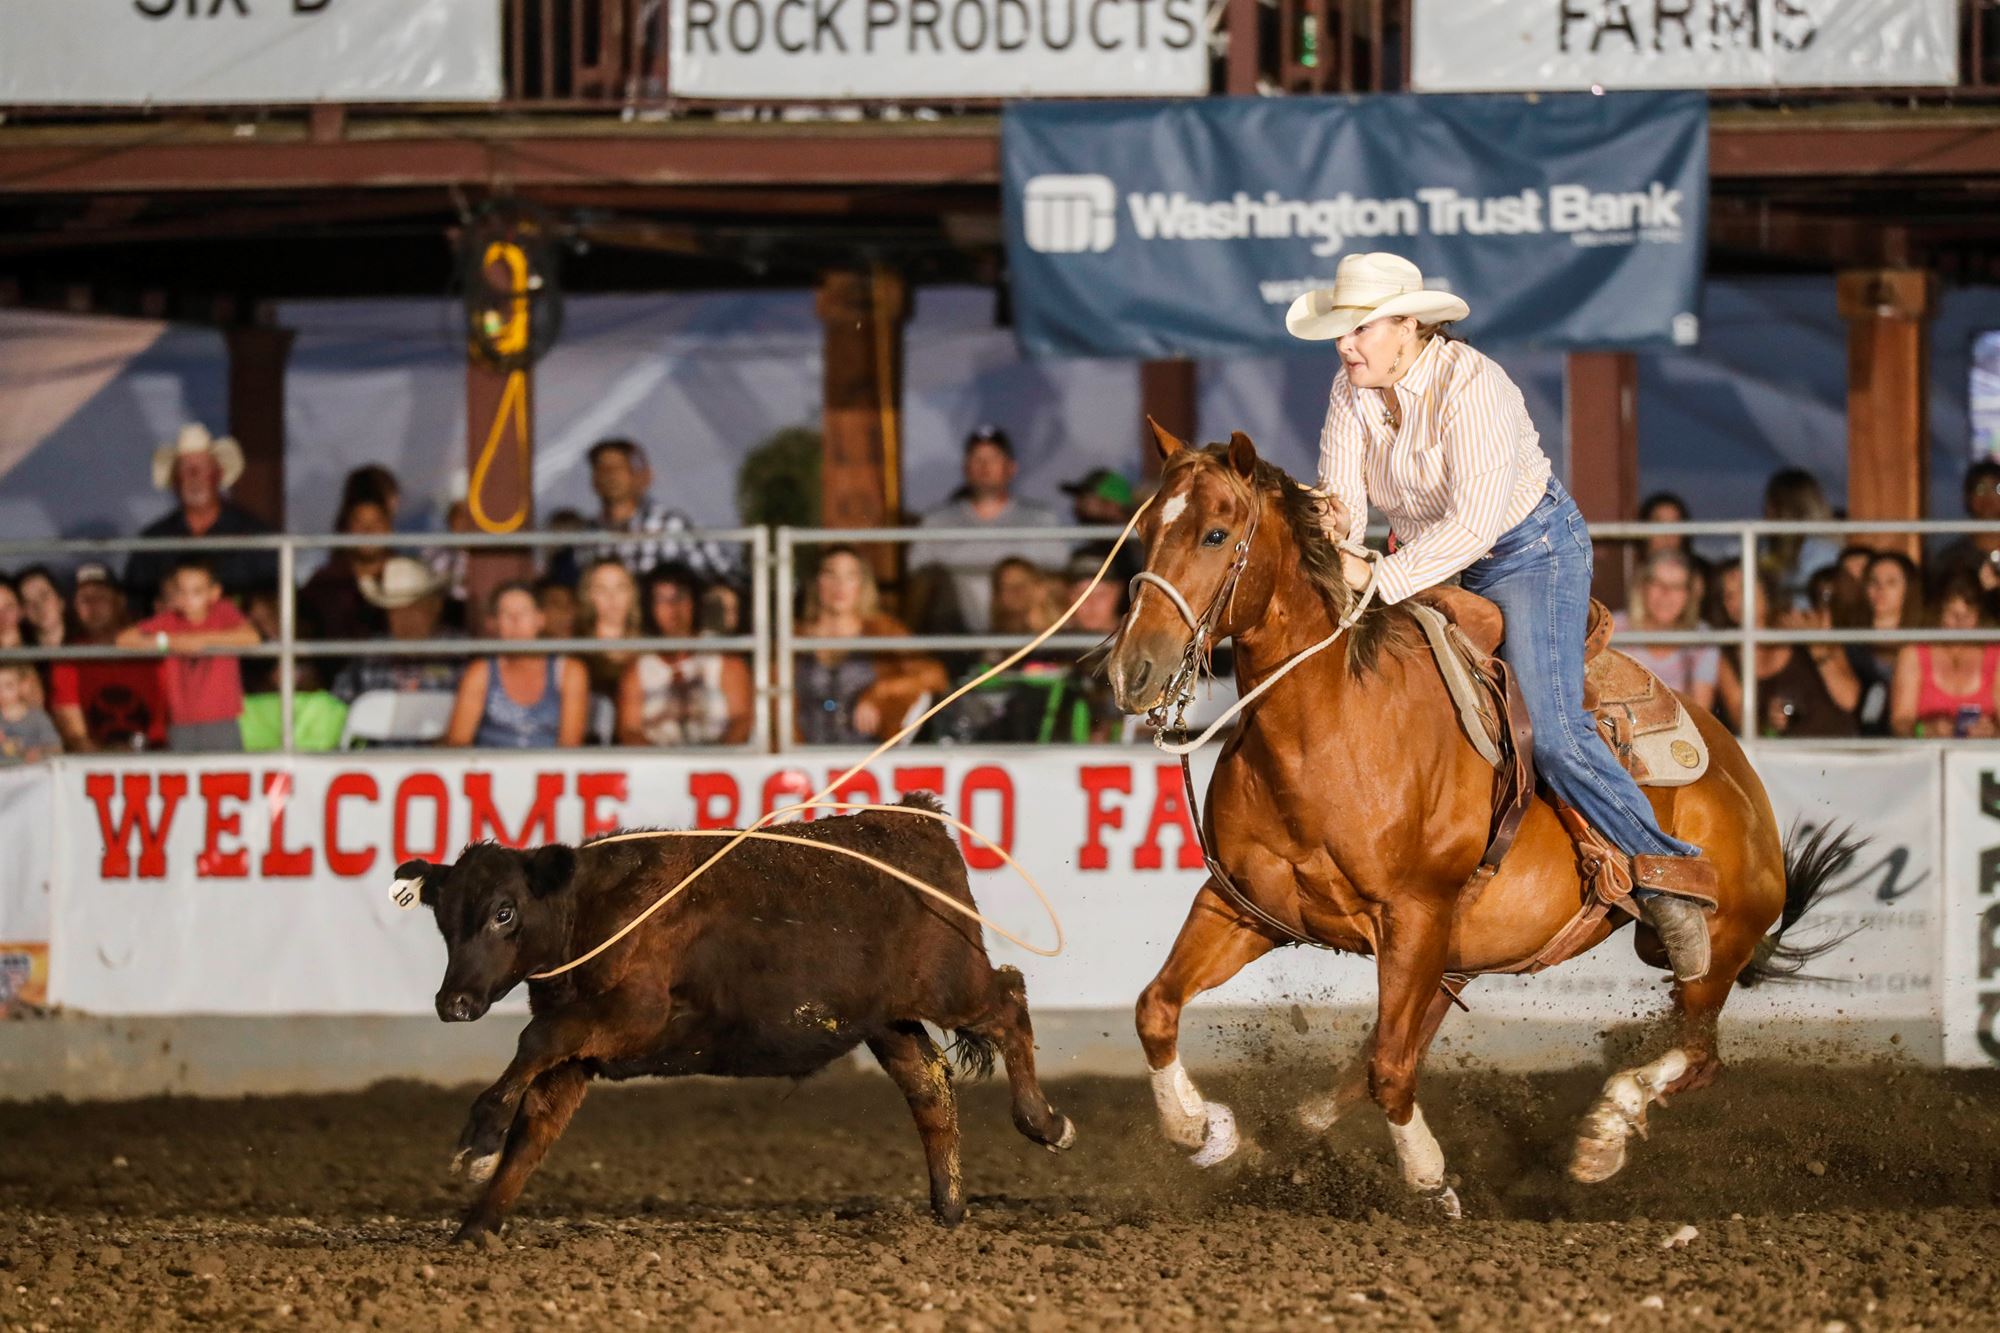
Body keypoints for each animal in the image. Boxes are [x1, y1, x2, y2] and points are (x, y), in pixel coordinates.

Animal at [1104, 422, 1848, 1200]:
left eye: (1216, 533)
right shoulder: (1241, 905)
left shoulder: (1414, 917)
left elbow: (1391, 1070)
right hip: (1459, 956)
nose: (1133, 670)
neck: (1330, 728)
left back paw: (1604, 1131)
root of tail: (1741, 778)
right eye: (1147, 532)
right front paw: (1199, 1126)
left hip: (1714, 944)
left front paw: (1429, 1177)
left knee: (1698, 1054)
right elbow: (1156, 1007)